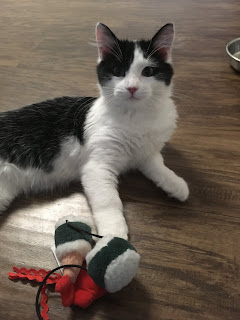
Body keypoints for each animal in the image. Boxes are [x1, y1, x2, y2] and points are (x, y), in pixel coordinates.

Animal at [0, 22, 189, 239]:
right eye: (118, 71)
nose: (132, 88)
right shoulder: (97, 168)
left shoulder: (146, 152)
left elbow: (158, 166)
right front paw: (114, 234)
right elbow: (109, 202)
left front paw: (175, 183)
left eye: (148, 71)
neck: (135, 117)